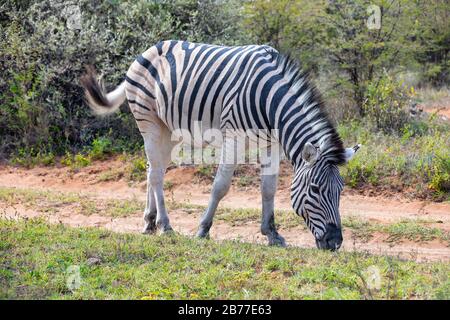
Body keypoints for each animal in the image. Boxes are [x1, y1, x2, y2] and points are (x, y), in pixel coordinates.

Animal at [81, 40, 360, 250]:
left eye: (341, 190)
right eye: (315, 189)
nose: (335, 242)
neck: (270, 102)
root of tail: (149, 49)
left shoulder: (272, 145)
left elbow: (269, 189)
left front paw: (271, 233)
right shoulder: (233, 137)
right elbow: (221, 185)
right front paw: (203, 229)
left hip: (169, 129)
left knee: (153, 169)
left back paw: (150, 222)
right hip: (148, 121)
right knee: (157, 175)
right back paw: (165, 225)